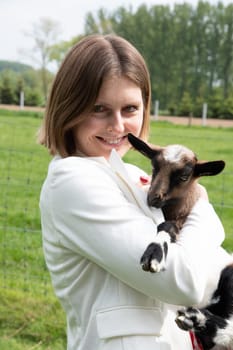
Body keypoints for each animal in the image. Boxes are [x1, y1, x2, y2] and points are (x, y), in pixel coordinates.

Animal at [128, 133, 233, 350]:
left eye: (184, 176)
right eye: (154, 167)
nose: (153, 198)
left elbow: (169, 227)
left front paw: (154, 254)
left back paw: (195, 318)